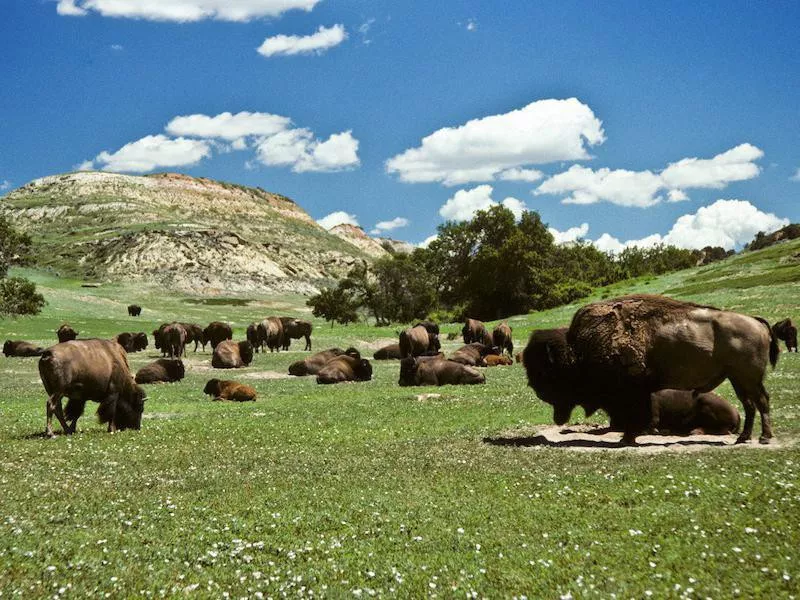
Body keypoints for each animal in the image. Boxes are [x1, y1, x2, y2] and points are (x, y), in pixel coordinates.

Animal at [520, 296, 780, 446]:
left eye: (547, 371)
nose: (535, 389)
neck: (578, 349)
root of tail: (755, 321)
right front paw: (628, 438)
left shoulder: (634, 394)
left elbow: (636, 418)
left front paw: (627, 439)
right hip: (737, 379)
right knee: (750, 405)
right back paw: (744, 438)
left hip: (748, 378)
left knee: (761, 401)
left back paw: (764, 438)